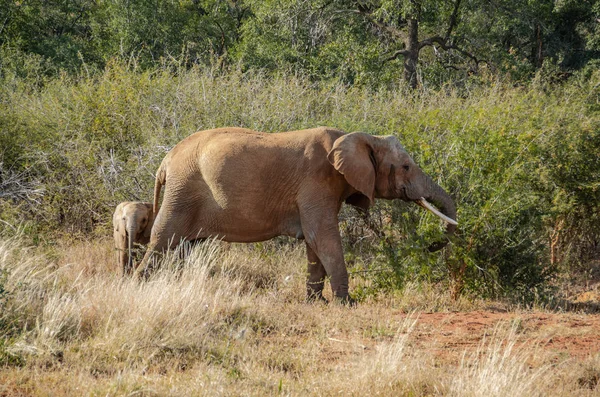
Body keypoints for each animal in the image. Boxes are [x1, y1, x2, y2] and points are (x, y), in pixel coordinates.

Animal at [136, 127, 458, 304]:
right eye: (406, 167)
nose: (431, 245)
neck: (357, 137)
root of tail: (165, 160)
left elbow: (315, 242)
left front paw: (316, 302)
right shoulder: (317, 181)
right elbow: (323, 235)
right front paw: (347, 303)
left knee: (184, 247)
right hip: (182, 192)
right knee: (164, 239)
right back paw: (139, 285)